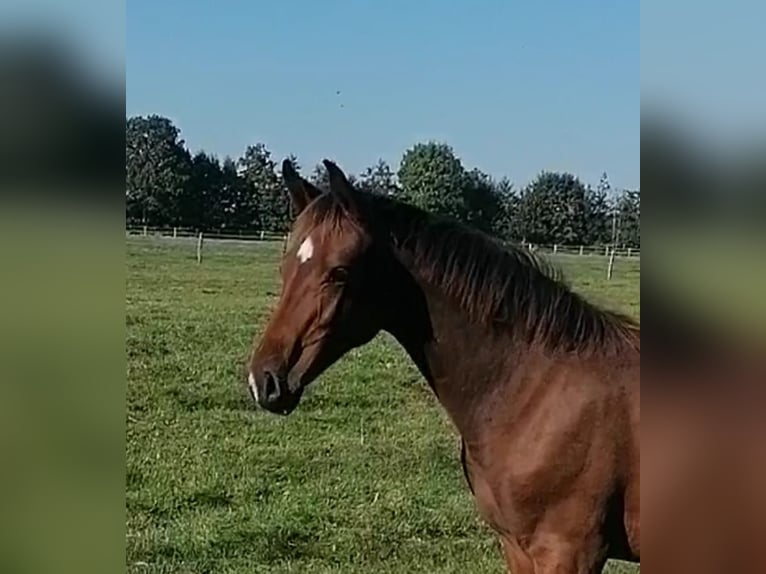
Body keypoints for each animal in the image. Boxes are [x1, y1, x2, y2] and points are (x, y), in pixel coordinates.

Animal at [248, 159, 640, 574]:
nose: (265, 381)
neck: (536, 391)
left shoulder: (568, 552)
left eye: (339, 272)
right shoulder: (516, 546)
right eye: (285, 265)